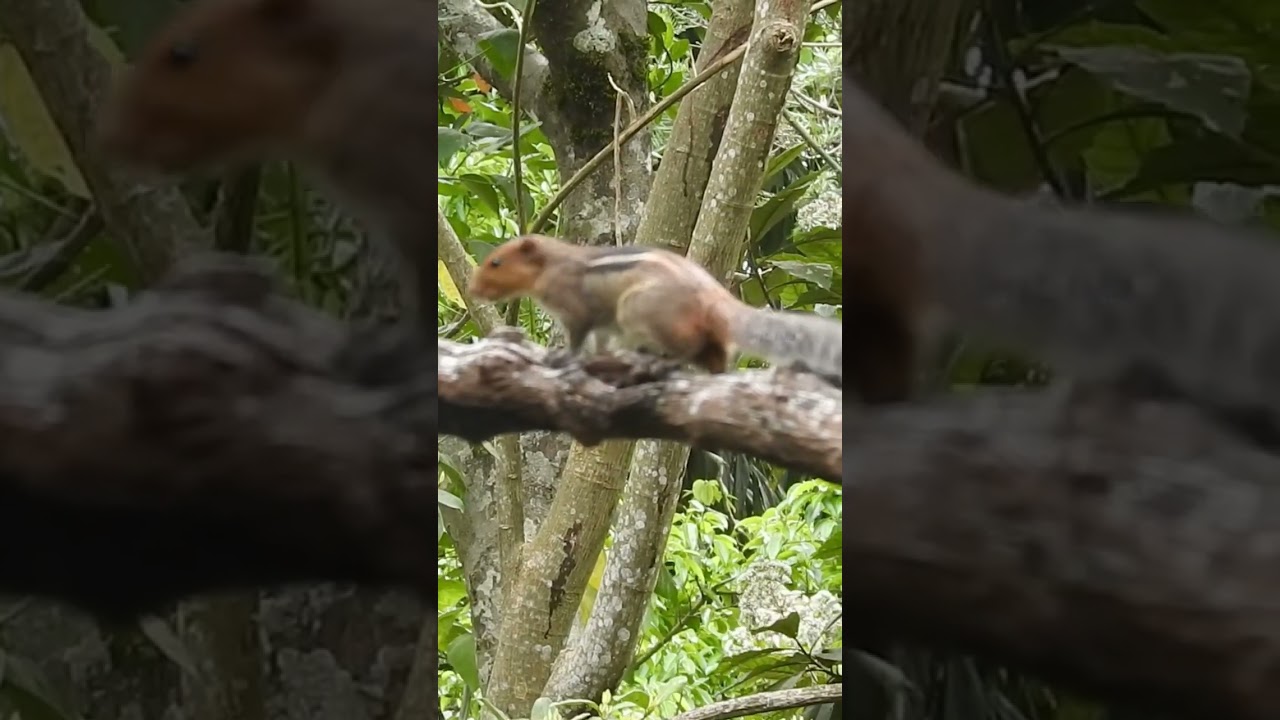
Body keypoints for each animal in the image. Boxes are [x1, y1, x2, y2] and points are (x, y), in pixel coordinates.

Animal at [468, 234, 844, 382]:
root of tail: (716, 299)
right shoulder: (603, 323)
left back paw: (662, 362)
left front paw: (563, 356)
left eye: (496, 262)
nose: (471, 290)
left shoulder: (576, 310)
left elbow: (577, 337)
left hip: (636, 308)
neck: (551, 264)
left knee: (687, 347)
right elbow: (600, 341)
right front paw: (596, 357)